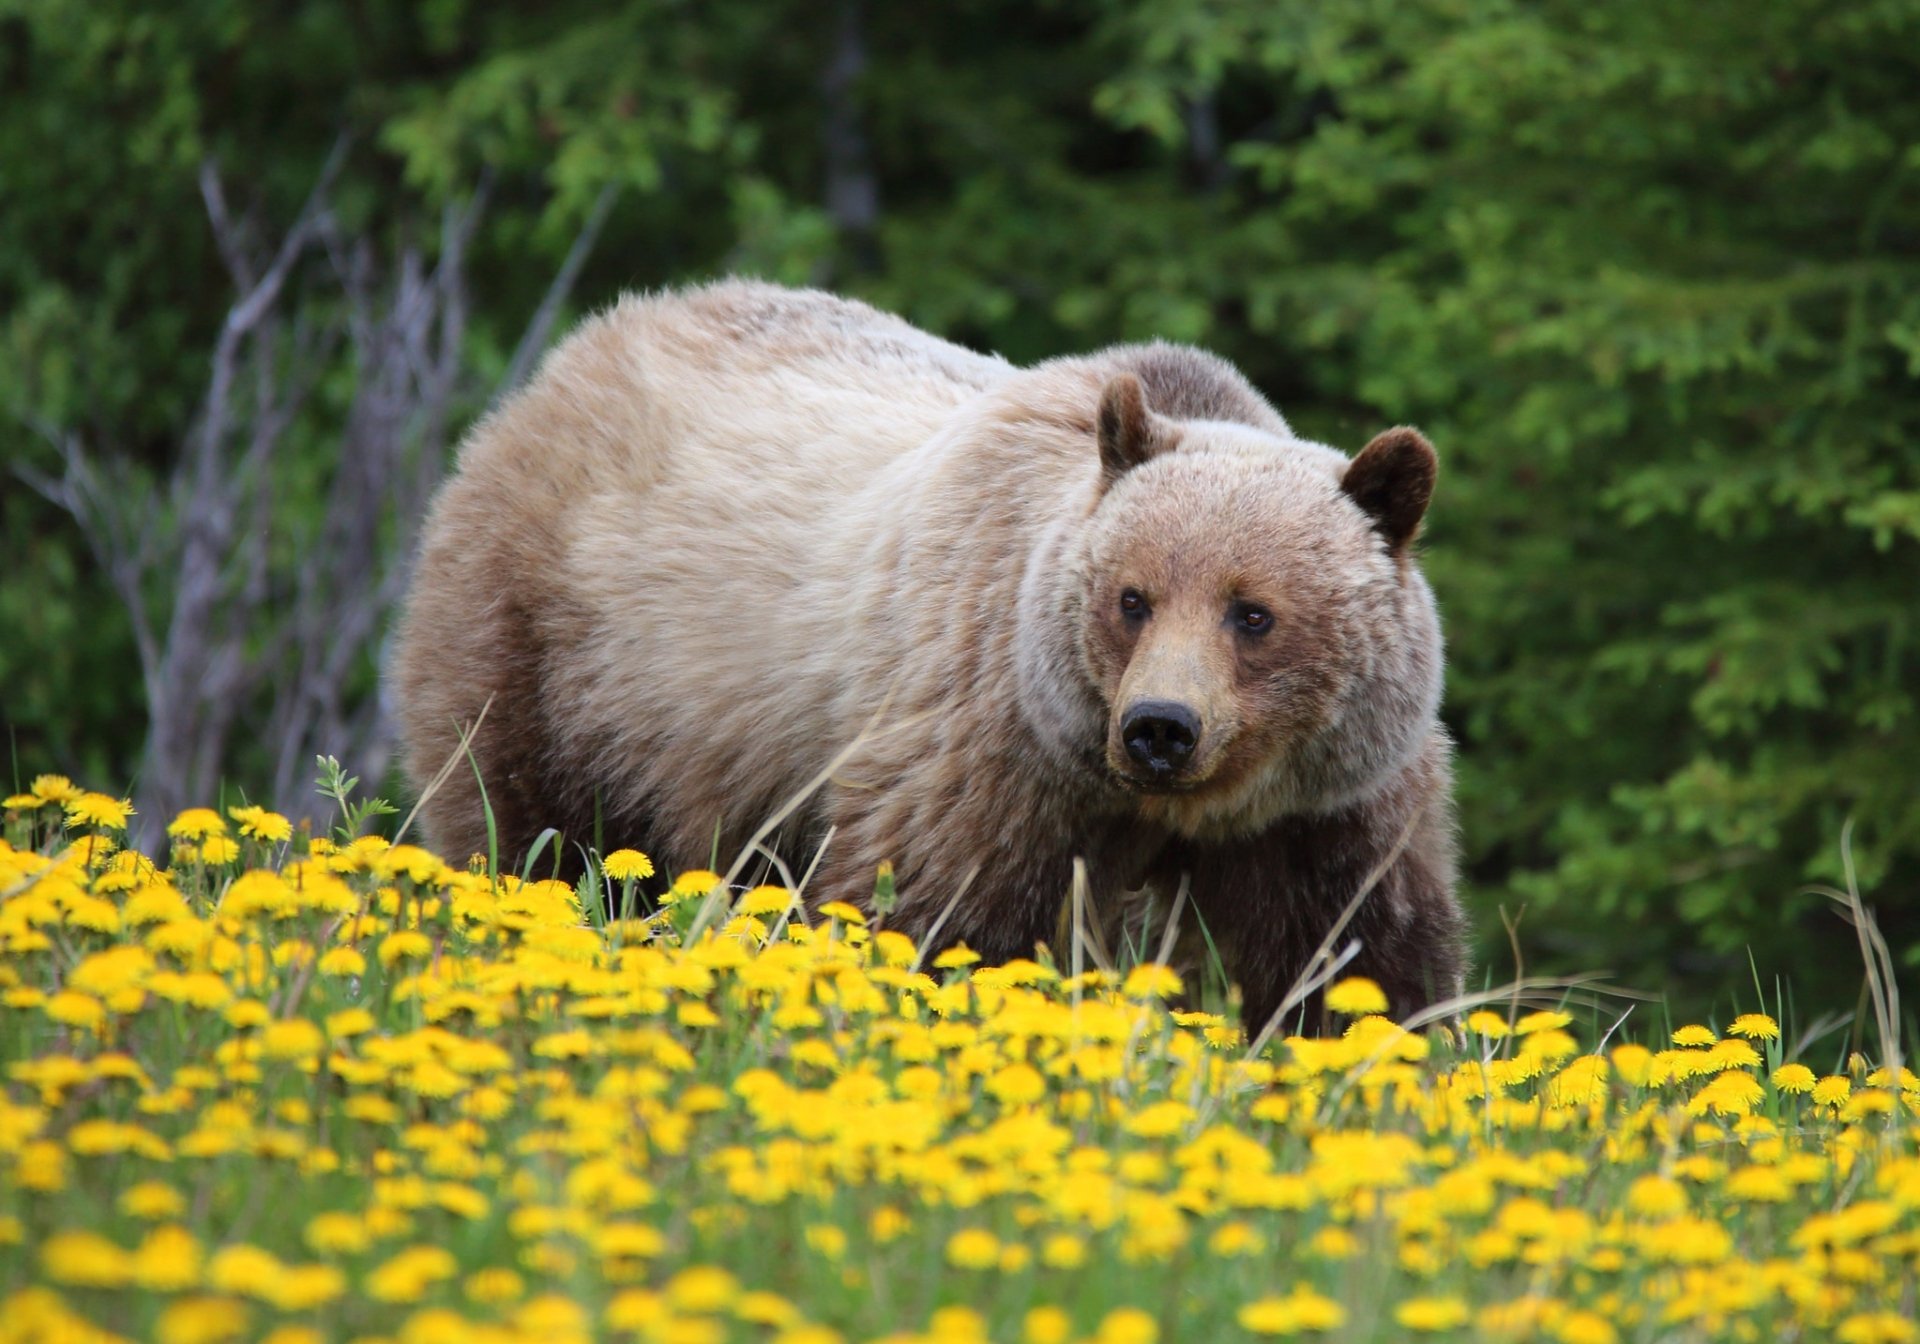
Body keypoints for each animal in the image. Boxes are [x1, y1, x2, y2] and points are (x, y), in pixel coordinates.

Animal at [392, 279, 1466, 1029]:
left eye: (1253, 613)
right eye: (1133, 598)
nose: (1161, 728)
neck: (1174, 811)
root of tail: (576, 352)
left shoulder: (1327, 810)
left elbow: (1358, 959)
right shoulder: (994, 740)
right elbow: (930, 916)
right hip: (564, 645)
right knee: (531, 827)